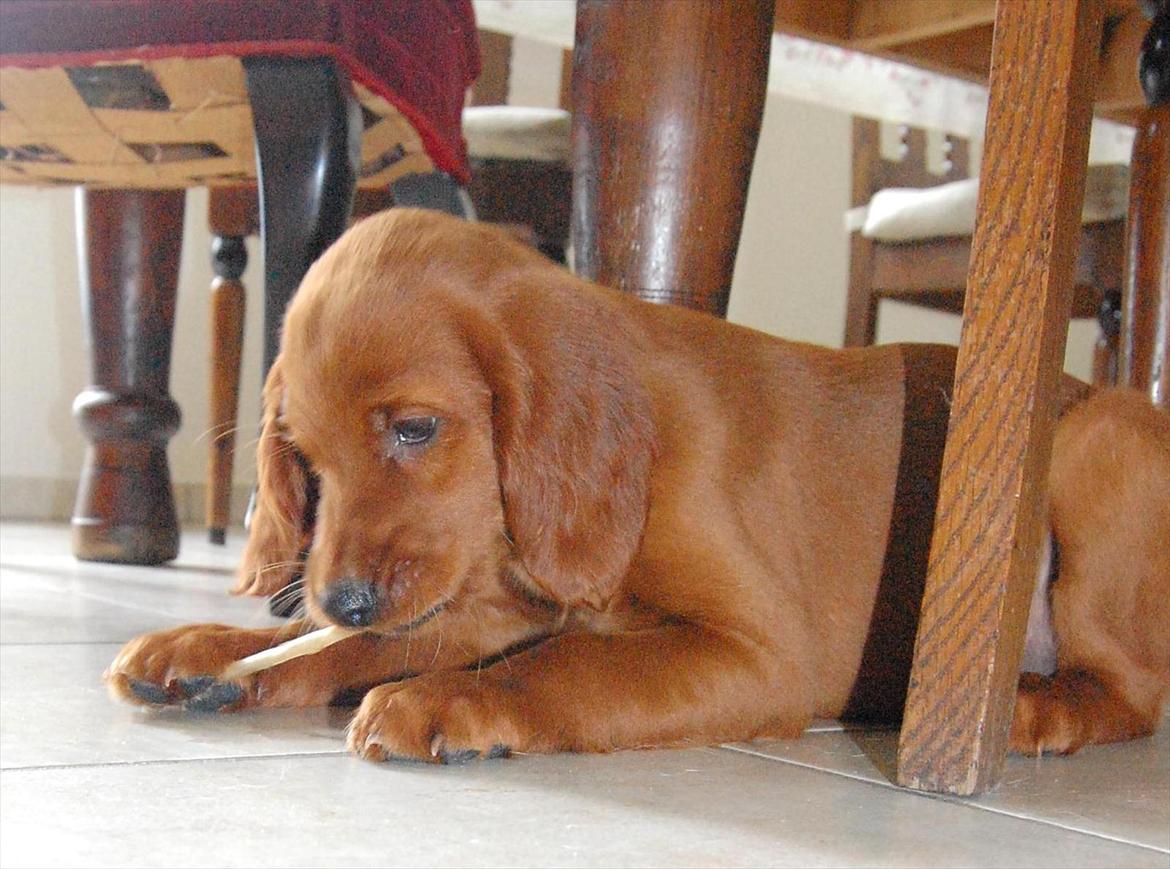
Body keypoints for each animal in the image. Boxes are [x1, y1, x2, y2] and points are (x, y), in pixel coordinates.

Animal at [107, 209, 1170, 762]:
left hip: (1097, 444)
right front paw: (216, 648)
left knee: (1133, 691)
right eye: (306, 461)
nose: (342, 596)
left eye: (415, 428)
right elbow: (348, 644)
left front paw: (448, 701)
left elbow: (573, 663)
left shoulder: (763, 652)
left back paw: (1030, 708)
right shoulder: (486, 602)